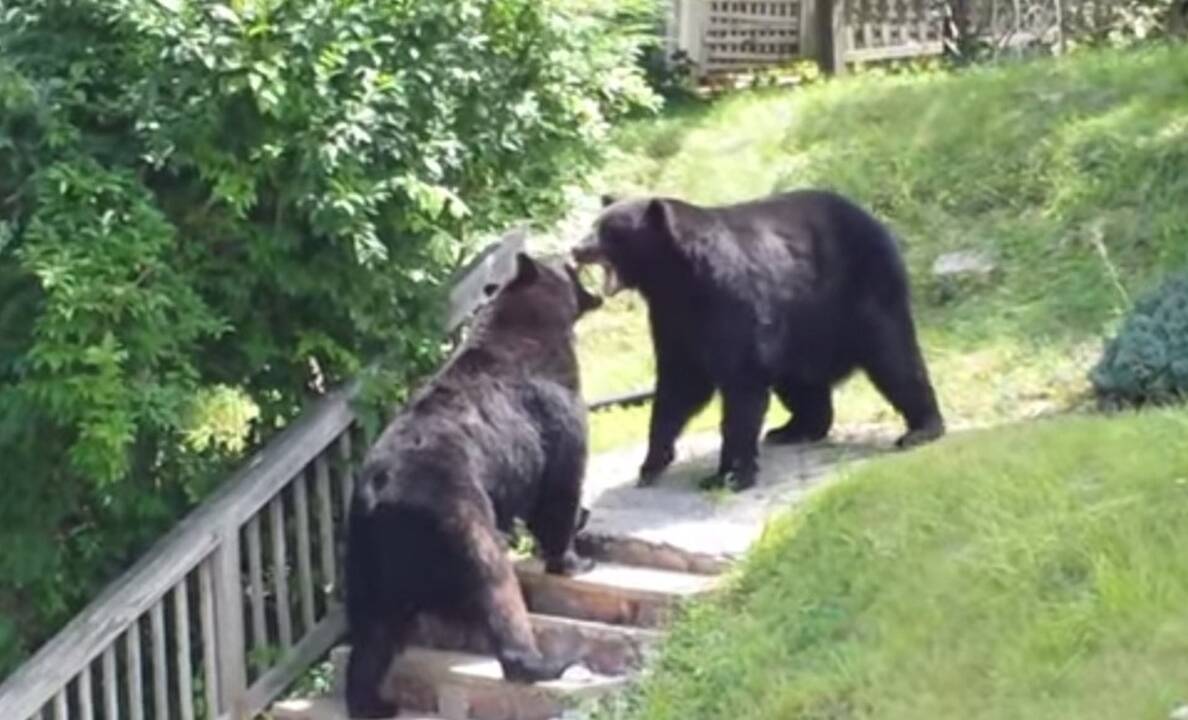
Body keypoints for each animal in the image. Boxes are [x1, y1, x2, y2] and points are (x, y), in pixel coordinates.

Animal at [344, 255, 603, 720]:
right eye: (568, 263)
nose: (576, 254)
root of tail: (380, 496)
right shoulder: (554, 413)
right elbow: (561, 487)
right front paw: (575, 557)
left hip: (363, 555)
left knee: (371, 633)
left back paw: (375, 702)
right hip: (458, 514)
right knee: (495, 584)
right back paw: (550, 659)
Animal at [572, 192, 945, 494]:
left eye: (608, 230)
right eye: (594, 224)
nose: (576, 249)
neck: (678, 279)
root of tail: (870, 218)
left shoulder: (730, 299)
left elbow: (741, 383)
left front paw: (730, 475)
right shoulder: (674, 321)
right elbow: (679, 385)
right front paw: (651, 465)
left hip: (863, 292)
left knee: (894, 357)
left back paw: (922, 429)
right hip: (800, 332)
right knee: (801, 384)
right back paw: (794, 429)